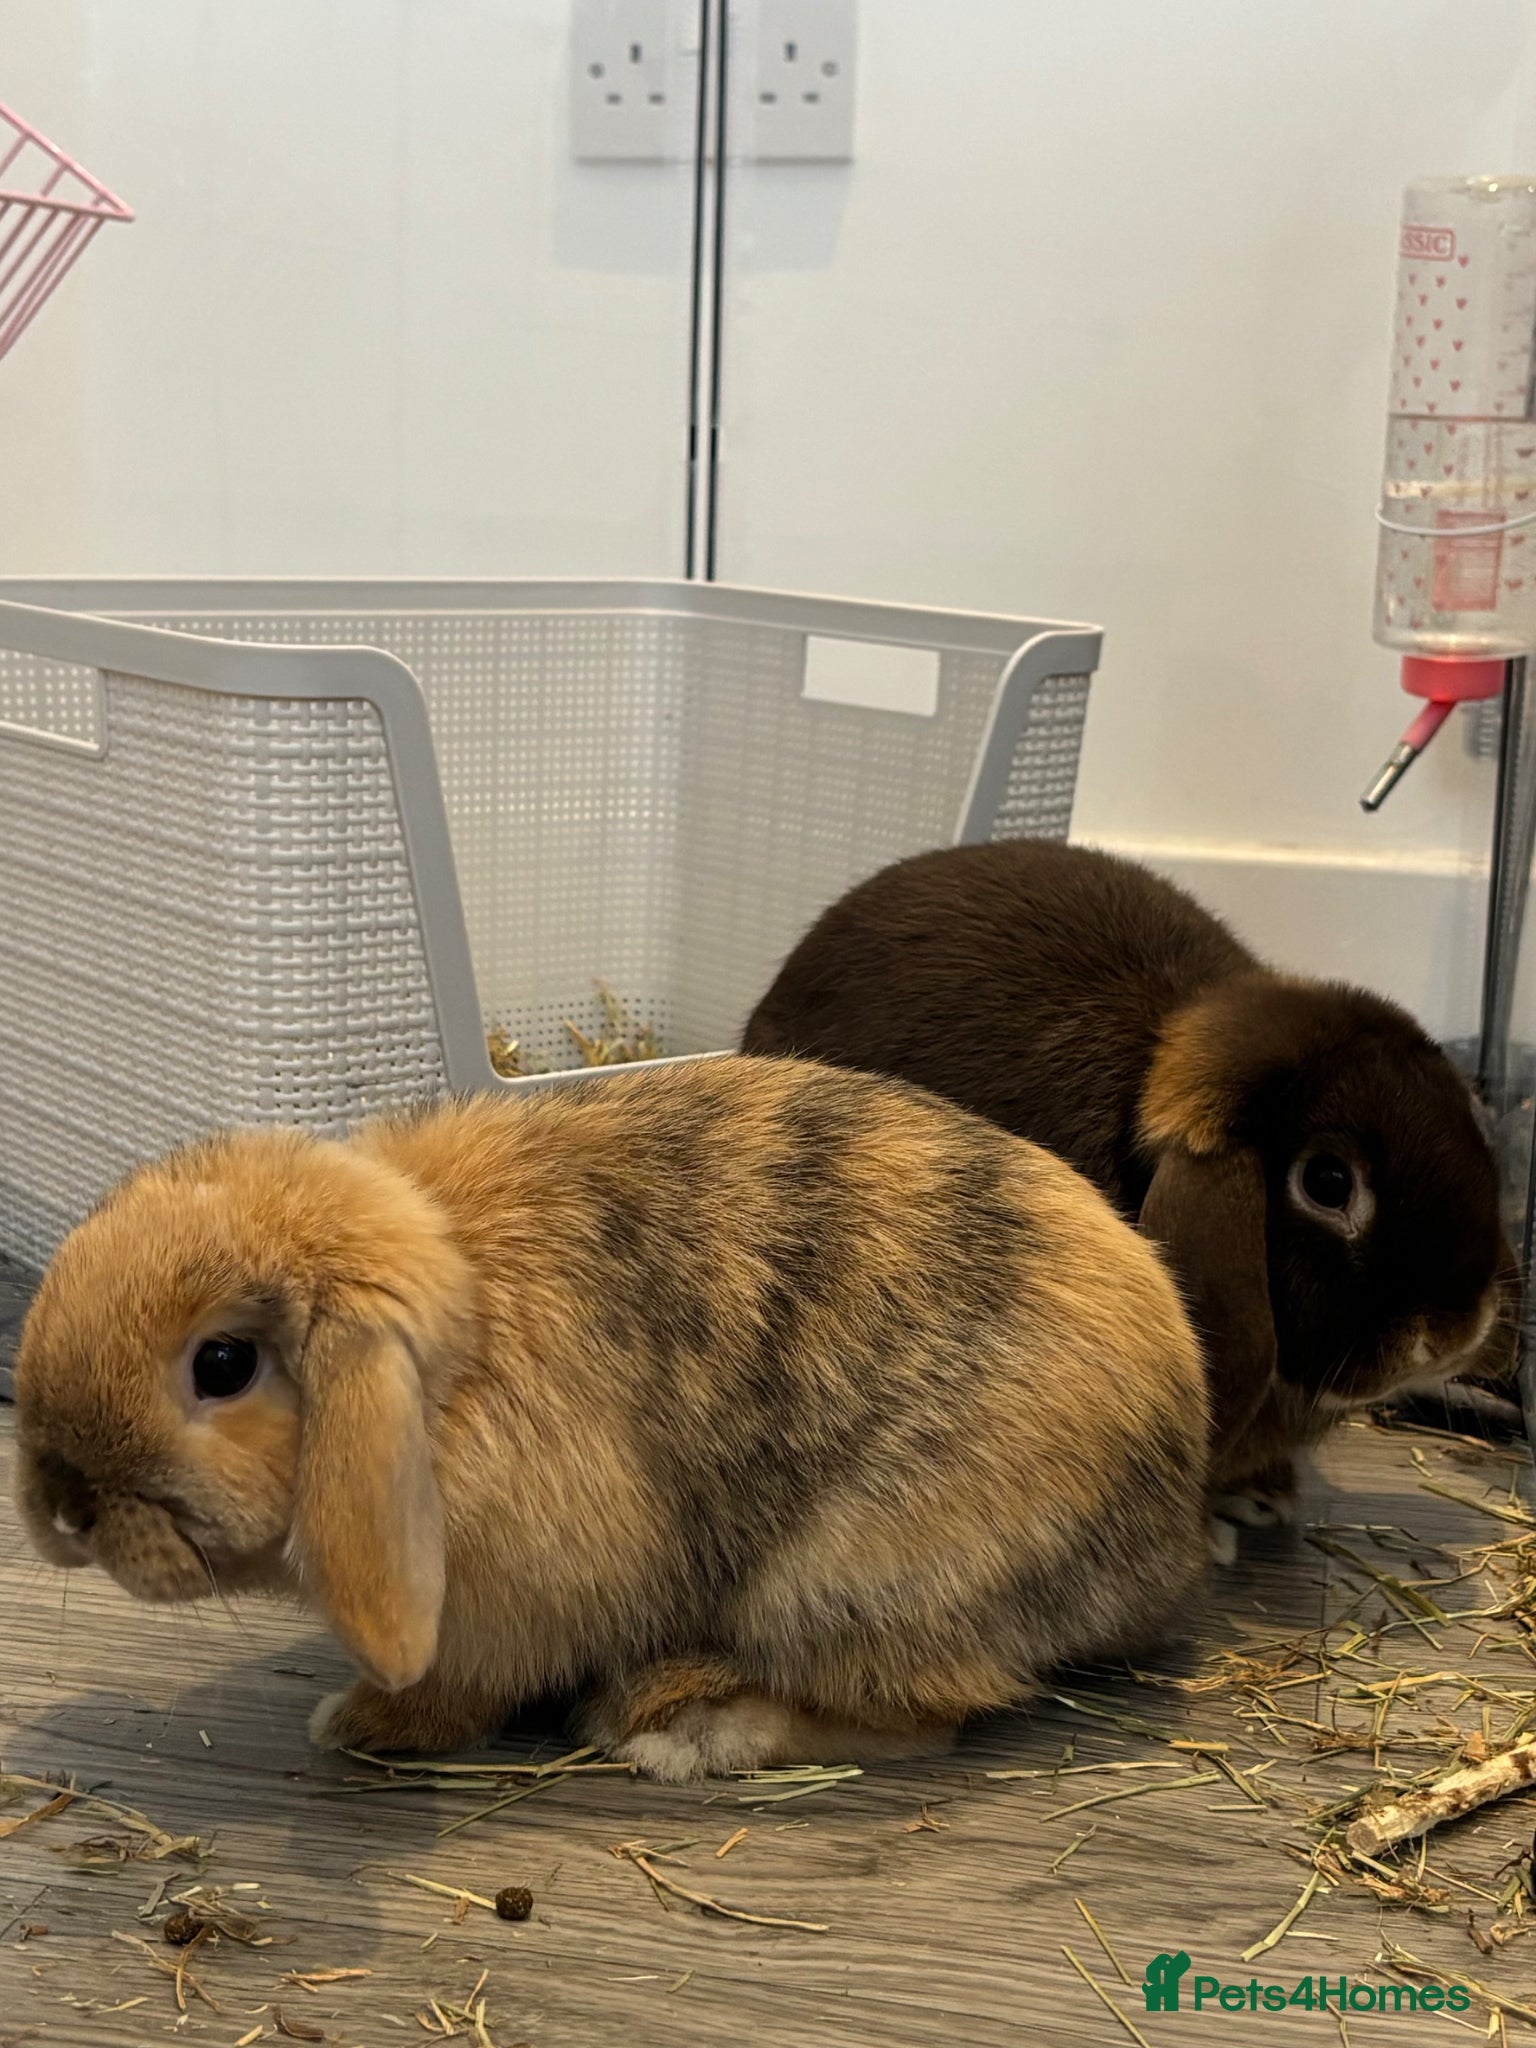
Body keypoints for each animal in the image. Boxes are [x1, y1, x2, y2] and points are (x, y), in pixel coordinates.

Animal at [12, 1054, 1209, 1780]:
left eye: (221, 1363)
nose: (58, 1507)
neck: (450, 1379)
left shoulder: (505, 1608)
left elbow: (458, 1691)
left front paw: (361, 1725)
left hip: (857, 1573)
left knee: (923, 1714)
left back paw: (683, 1727)